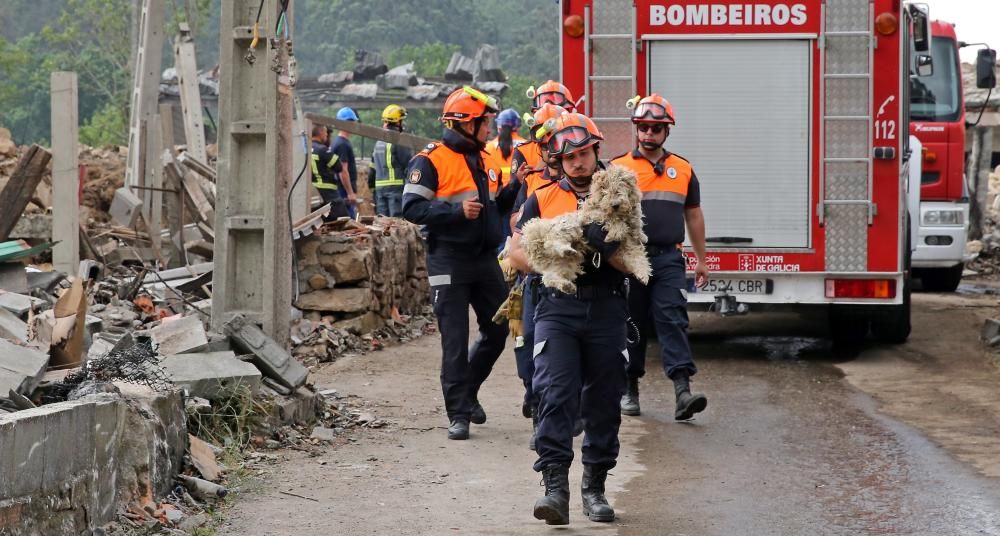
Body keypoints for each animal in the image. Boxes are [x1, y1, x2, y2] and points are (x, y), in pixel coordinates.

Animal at [520, 166, 652, 296]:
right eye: (603, 191)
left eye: (621, 185)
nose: (615, 205)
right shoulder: (591, 215)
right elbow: (609, 218)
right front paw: (617, 231)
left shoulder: (631, 242)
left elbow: (637, 256)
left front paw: (643, 274)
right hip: (568, 226)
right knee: (552, 241)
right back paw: (566, 250)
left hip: (562, 263)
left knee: (549, 277)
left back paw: (567, 285)